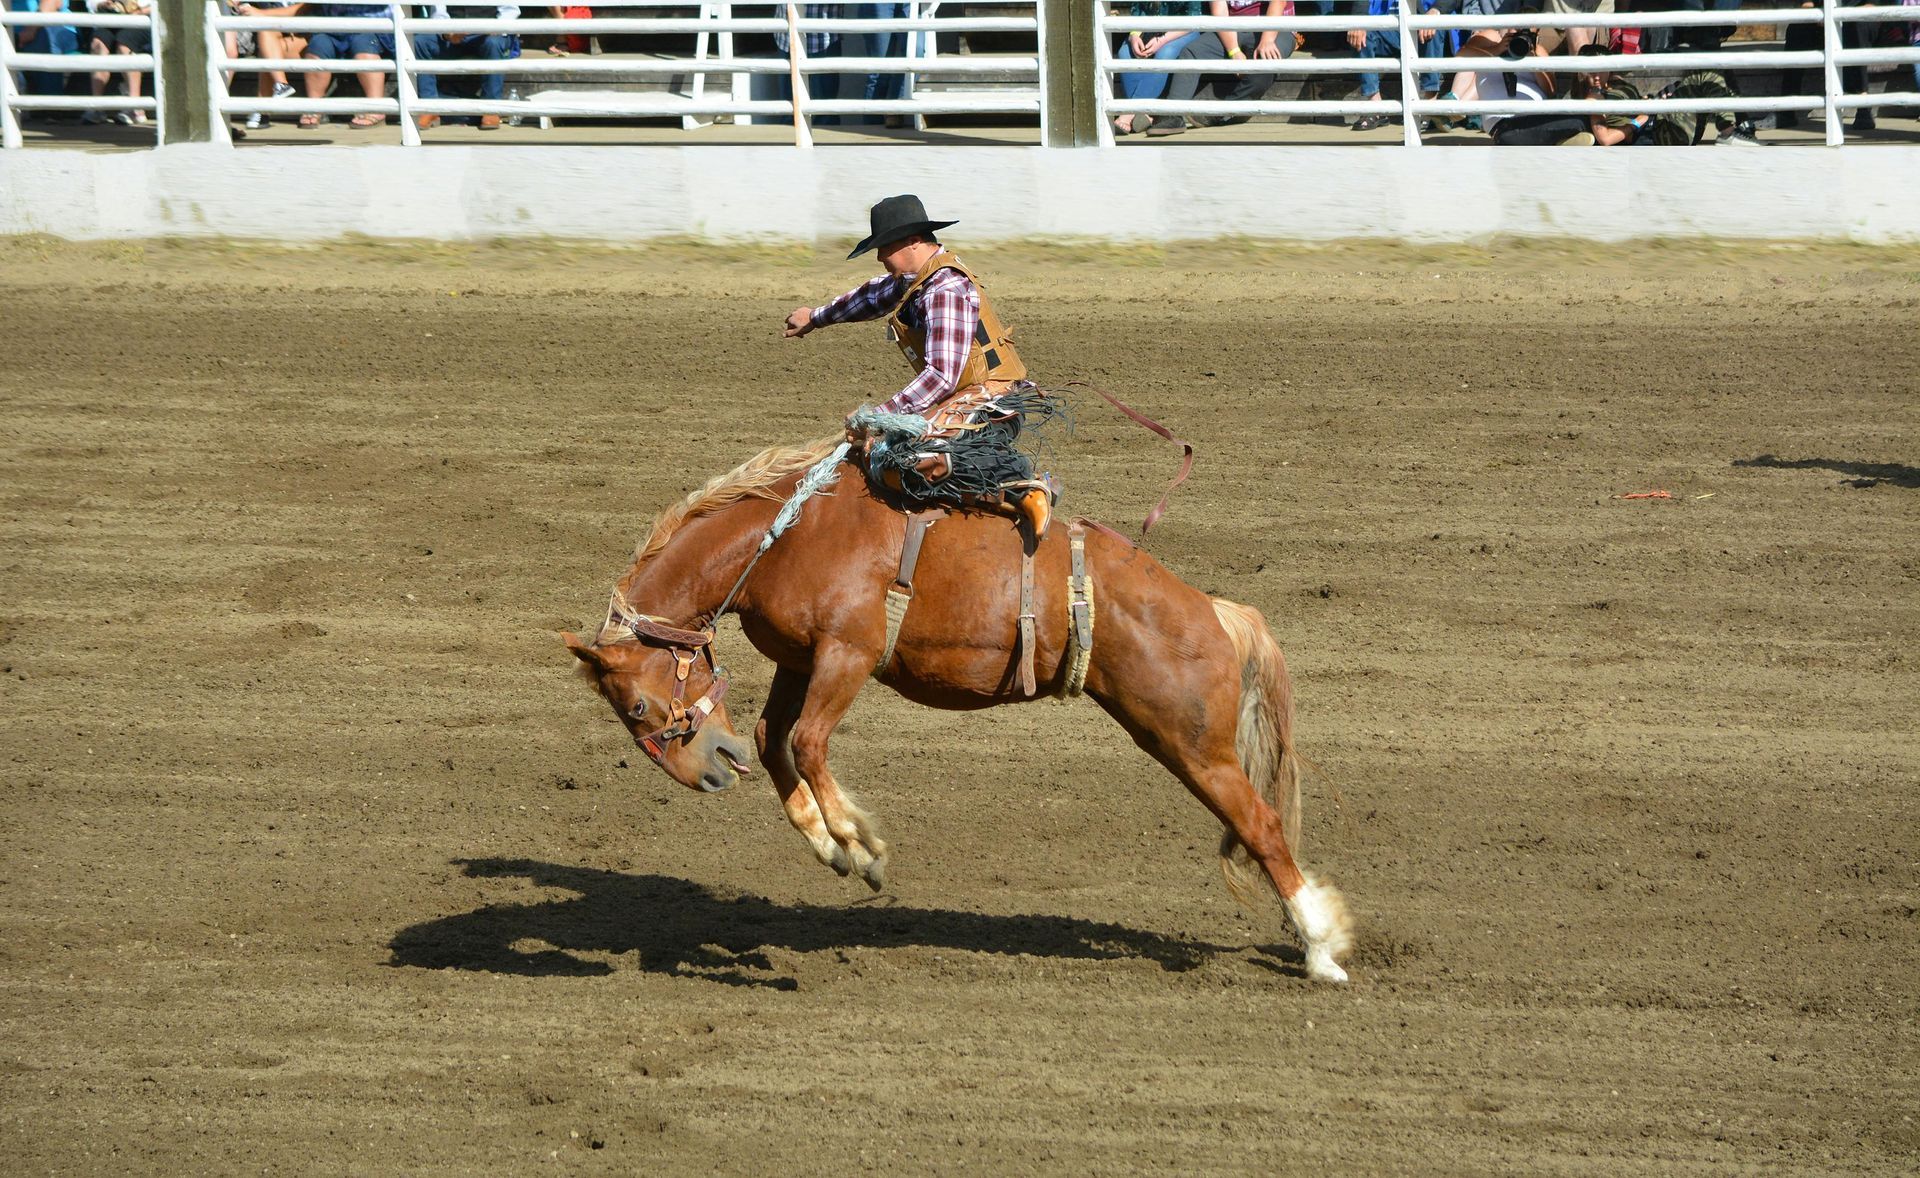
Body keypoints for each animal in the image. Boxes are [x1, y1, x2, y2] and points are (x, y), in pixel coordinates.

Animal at [563, 438, 1355, 983]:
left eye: (638, 704)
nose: (709, 773)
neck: (783, 537)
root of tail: (1217, 611)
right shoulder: (799, 659)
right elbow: (772, 738)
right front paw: (828, 845)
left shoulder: (847, 654)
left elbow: (810, 743)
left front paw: (863, 846)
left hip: (1192, 742)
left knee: (1260, 823)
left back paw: (1322, 949)